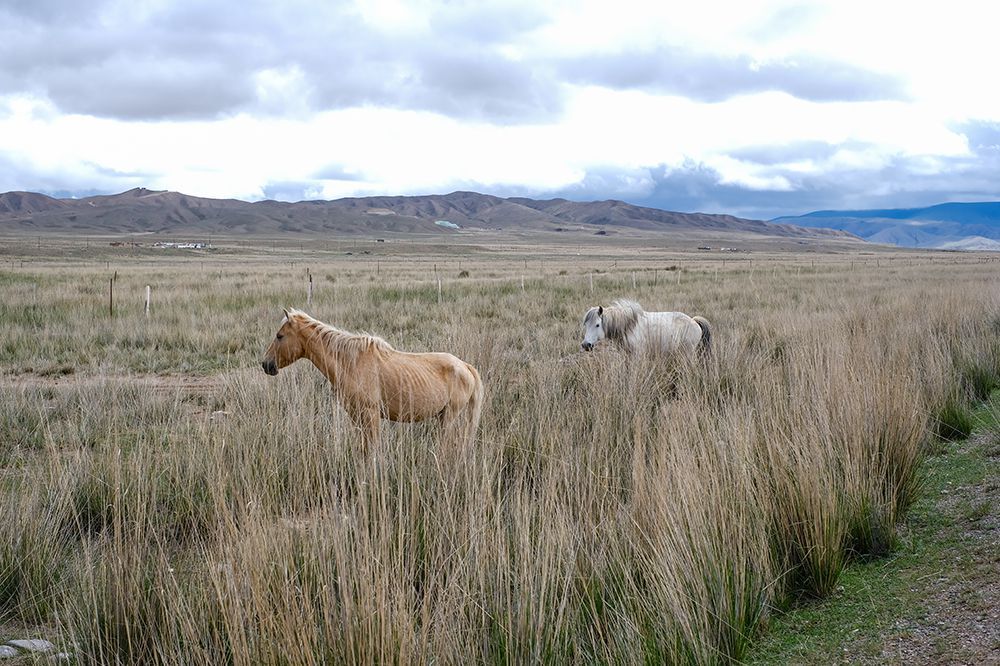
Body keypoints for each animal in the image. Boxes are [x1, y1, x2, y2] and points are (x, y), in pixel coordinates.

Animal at [262, 308, 484, 446]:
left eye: (280, 336)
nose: (266, 365)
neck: (351, 363)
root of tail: (465, 366)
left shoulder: (371, 415)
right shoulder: (356, 416)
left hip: (450, 415)